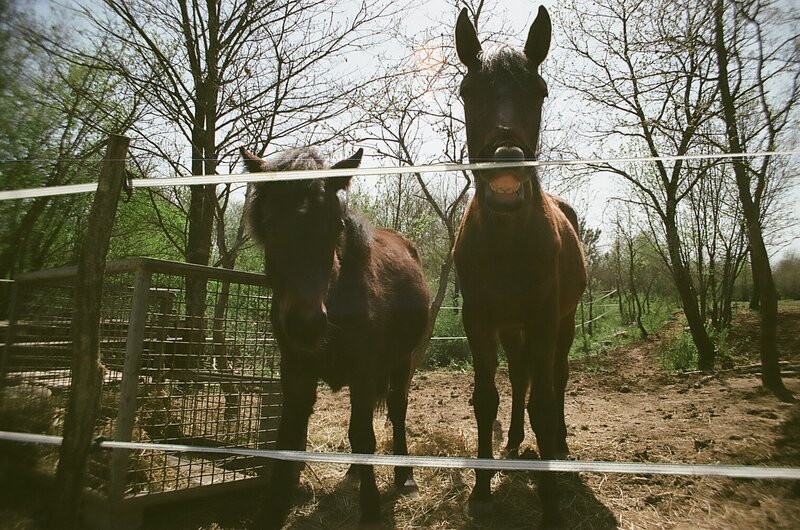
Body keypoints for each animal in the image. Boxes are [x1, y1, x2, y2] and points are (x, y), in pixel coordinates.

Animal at [241, 146, 431, 529]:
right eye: (270, 226)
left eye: (335, 226)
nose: (306, 325)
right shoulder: (295, 371)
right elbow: (288, 439)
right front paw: (273, 511)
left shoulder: (364, 372)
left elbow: (364, 435)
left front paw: (371, 510)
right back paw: (356, 473)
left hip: (403, 361)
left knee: (397, 410)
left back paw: (405, 478)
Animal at [452, 6, 587, 527]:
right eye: (468, 91)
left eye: (540, 91)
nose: (506, 175)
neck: (506, 243)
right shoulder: (479, 320)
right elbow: (486, 398)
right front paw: (481, 490)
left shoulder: (546, 317)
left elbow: (546, 402)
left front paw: (550, 503)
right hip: (512, 328)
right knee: (521, 377)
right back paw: (512, 441)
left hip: (564, 322)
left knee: (554, 378)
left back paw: (560, 447)